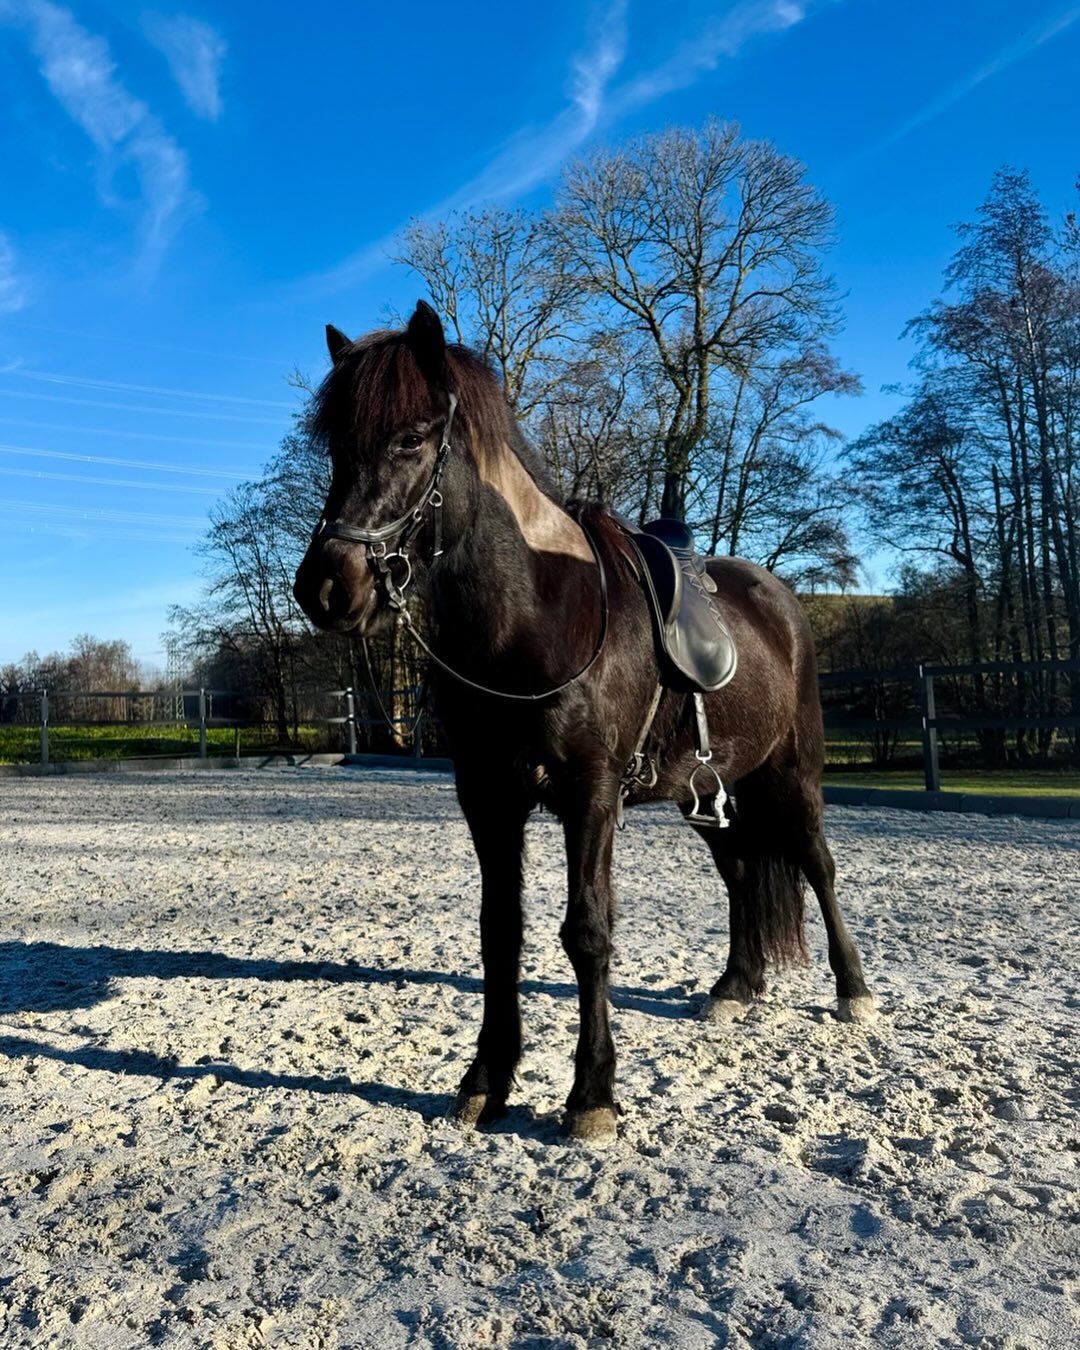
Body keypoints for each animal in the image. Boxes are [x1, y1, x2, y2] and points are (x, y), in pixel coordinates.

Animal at [293, 301, 873, 1142]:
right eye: (336, 445)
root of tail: (777, 599)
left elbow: (587, 932)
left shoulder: (590, 795)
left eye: (411, 438)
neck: (533, 619)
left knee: (818, 866)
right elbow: (499, 931)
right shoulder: (487, 797)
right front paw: (486, 1081)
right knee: (739, 874)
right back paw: (736, 986)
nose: (327, 587)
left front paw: (592, 1093)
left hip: (792, 774)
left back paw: (854, 990)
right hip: (706, 792)